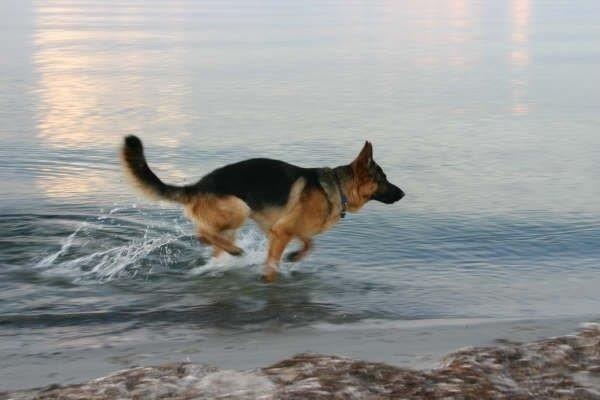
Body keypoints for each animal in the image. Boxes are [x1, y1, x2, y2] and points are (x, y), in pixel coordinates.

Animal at [121, 136, 404, 282]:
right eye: (384, 179)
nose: (402, 193)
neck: (337, 187)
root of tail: (198, 185)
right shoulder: (281, 232)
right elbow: (274, 262)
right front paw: (274, 273)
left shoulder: (280, 230)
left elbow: (309, 243)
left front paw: (295, 257)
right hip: (239, 208)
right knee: (201, 233)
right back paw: (235, 251)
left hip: (233, 222)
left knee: (211, 241)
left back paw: (227, 256)